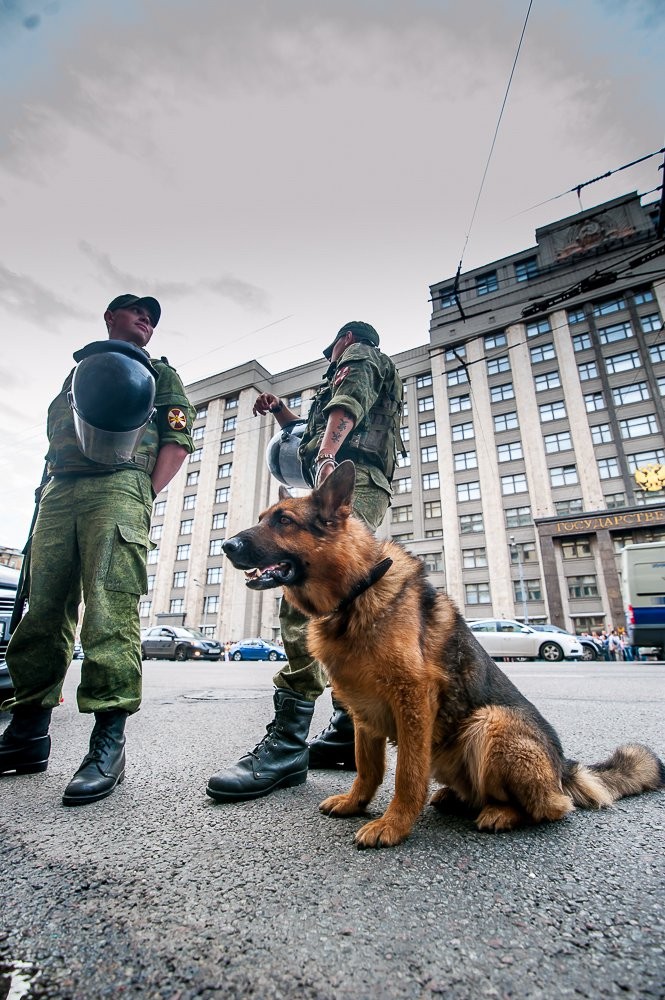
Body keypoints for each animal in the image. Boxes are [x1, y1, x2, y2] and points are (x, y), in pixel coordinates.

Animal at [224, 464, 664, 848]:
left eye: (283, 521)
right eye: (265, 518)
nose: (227, 545)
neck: (357, 590)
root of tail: (563, 768)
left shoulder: (413, 699)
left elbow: (407, 774)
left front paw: (395, 825)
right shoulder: (364, 714)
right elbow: (367, 768)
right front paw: (355, 804)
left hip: (491, 723)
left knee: (554, 807)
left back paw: (501, 813)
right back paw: (459, 798)